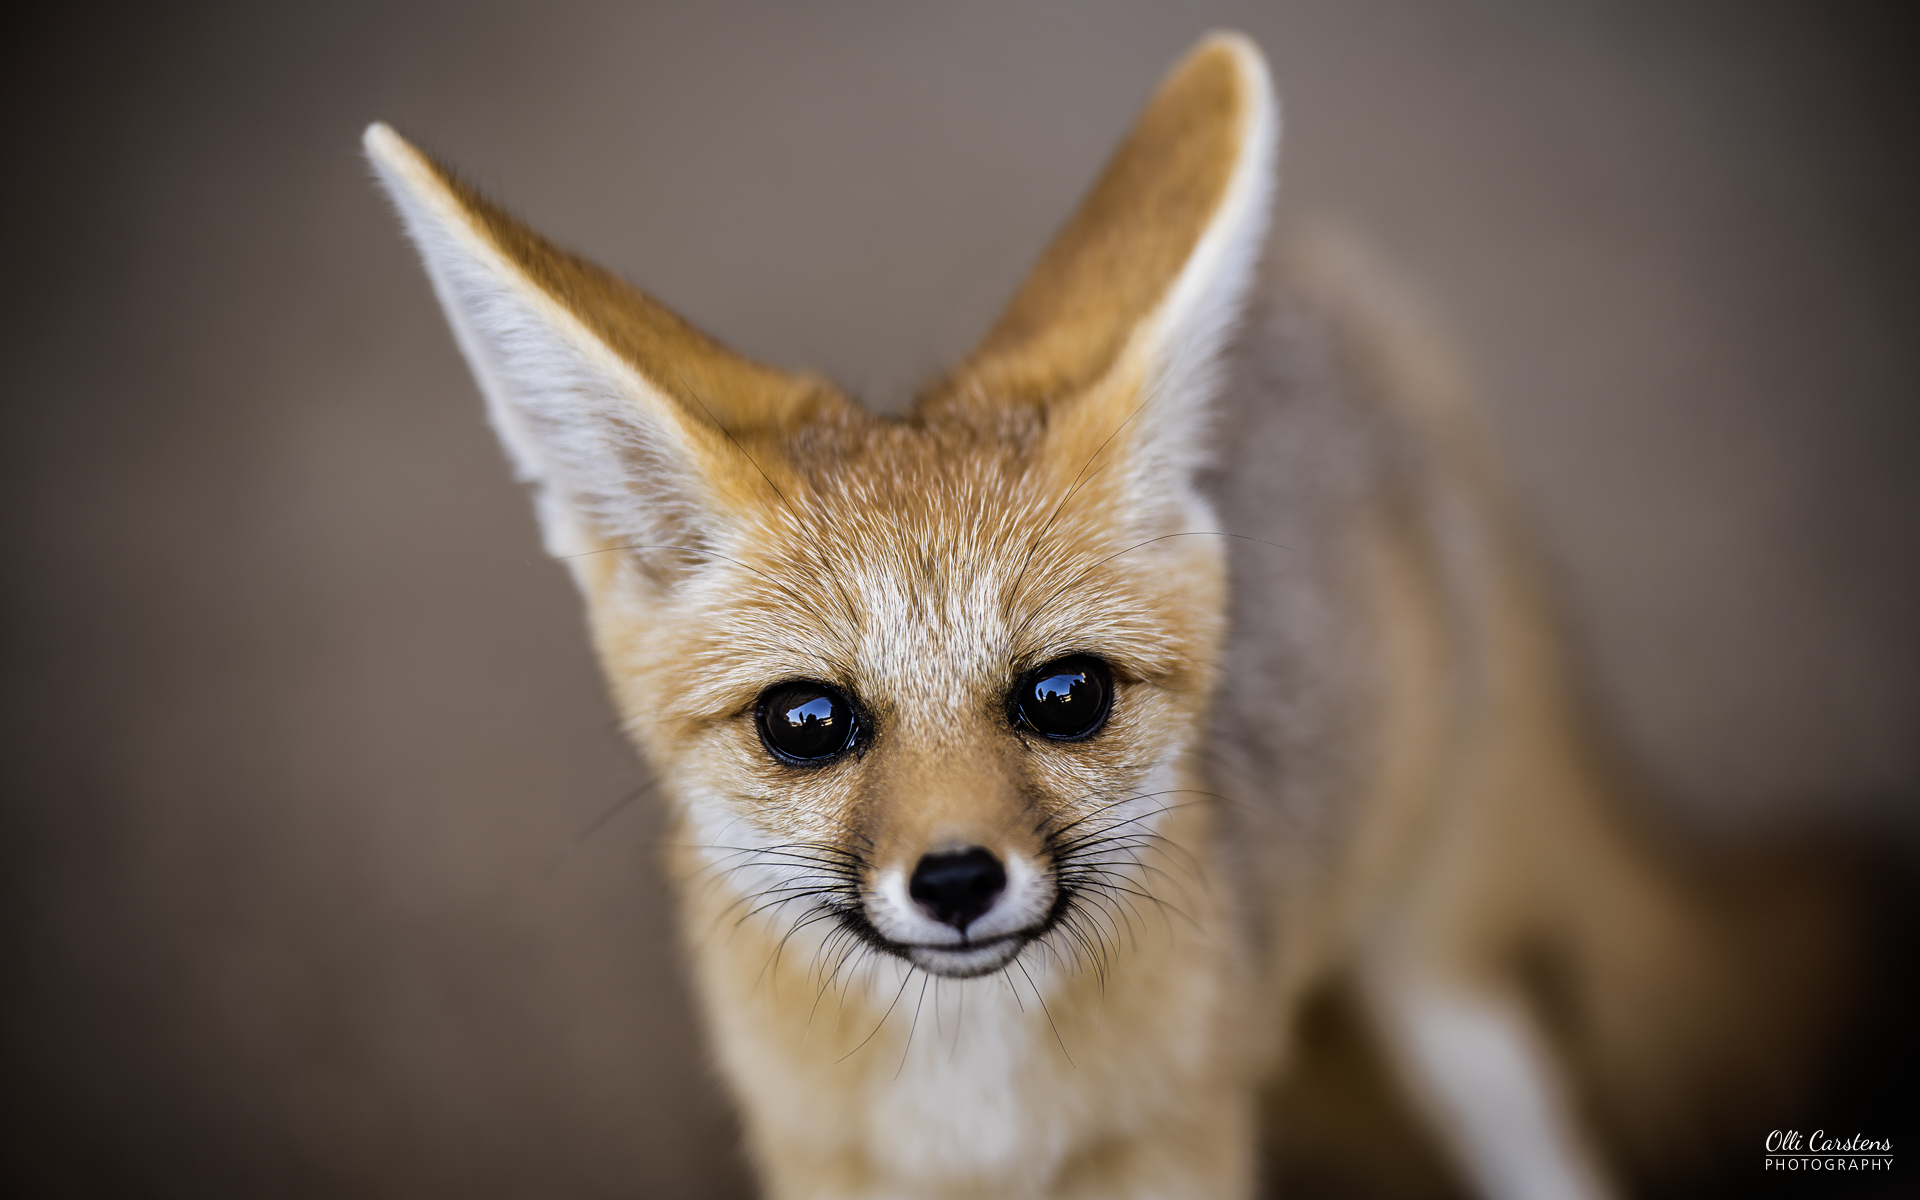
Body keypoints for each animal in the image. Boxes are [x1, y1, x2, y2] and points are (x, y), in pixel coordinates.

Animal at [366, 32, 1859, 1200]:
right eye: (806, 722)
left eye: (1064, 696)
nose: (957, 881)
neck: (978, 1136)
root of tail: (1344, 280)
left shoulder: (1185, 1147)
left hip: (1444, 974)